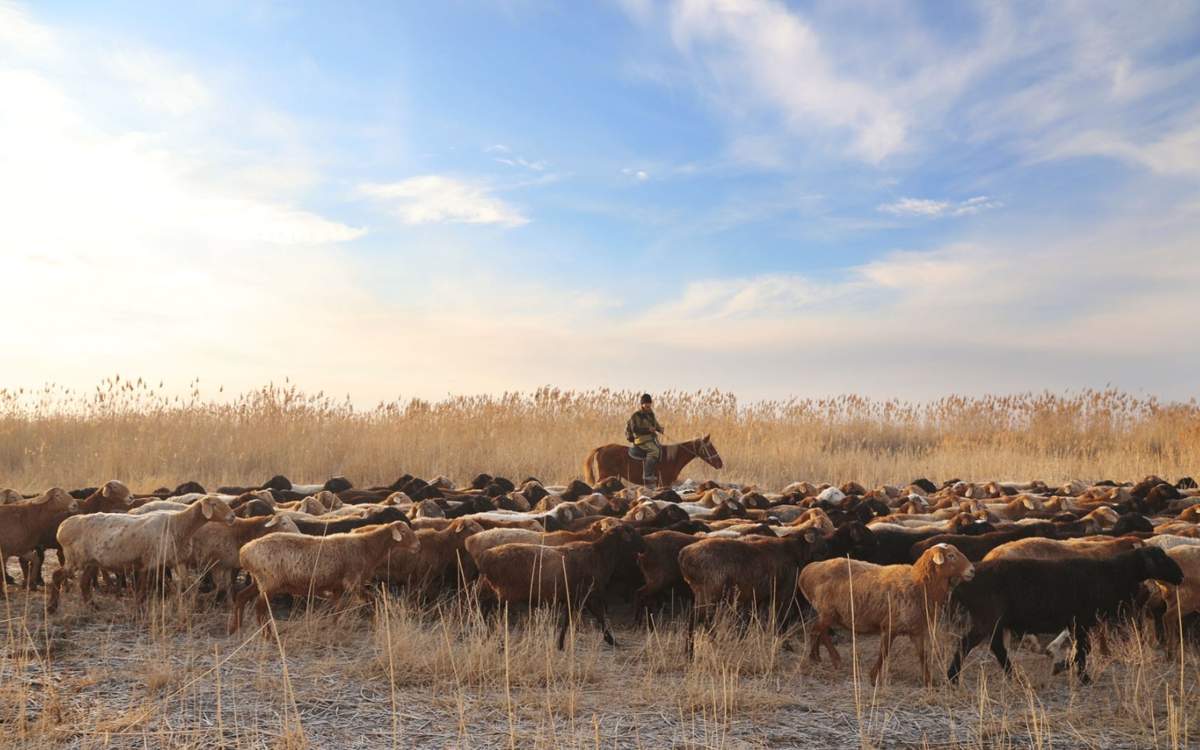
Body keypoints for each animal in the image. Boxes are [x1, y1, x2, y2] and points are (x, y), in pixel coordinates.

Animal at [49, 494, 236, 612]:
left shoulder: (177, 560)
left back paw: (93, 607)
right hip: (75, 557)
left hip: (91, 561)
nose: (233, 517)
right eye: (214, 504)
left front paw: (194, 605)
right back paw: (52, 607)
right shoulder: (150, 561)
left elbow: (189, 584)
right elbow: (143, 588)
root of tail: (63, 527)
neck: (179, 525)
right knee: (57, 575)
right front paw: (139, 608)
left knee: (84, 583)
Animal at [475, 520, 648, 648]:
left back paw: (485, 635)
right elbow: (594, 617)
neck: (599, 555)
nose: (644, 547)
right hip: (504, 594)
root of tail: (486, 556)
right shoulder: (585, 595)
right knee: (490, 611)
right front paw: (611, 640)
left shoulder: (576, 598)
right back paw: (496, 641)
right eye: (632, 533)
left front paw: (560, 643)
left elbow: (573, 620)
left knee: (483, 608)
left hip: (490, 590)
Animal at [583, 436, 720, 489]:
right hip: (605, 475)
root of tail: (602, 448)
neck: (672, 457)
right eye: (711, 448)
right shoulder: (664, 482)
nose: (720, 463)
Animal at [796, 540, 974, 681]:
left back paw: (817, 657)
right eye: (951, 555)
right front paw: (873, 676)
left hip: (827, 613)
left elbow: (923, 655)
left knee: (817, 631)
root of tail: (807, 570)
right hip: (828, 611)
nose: (972, 570)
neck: (919, 584)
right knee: (818, 631)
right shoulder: (890, 626)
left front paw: (929, 682)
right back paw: (831, 659)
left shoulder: (916, 630)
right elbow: (884, 652)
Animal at [950, 544, 1185, 686]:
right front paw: (1079, 675)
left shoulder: (1077, 622)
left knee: (996, 647)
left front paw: (1065, 667)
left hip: (994, 621)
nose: (1181, 576)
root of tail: (964, 581)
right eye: (1161, 559)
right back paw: (953, 677)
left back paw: (1013, 677)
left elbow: (1081, 649)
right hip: (987, 617)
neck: (1112, 574)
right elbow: (1083, 650)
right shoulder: (1080, 620)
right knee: (966, 643)